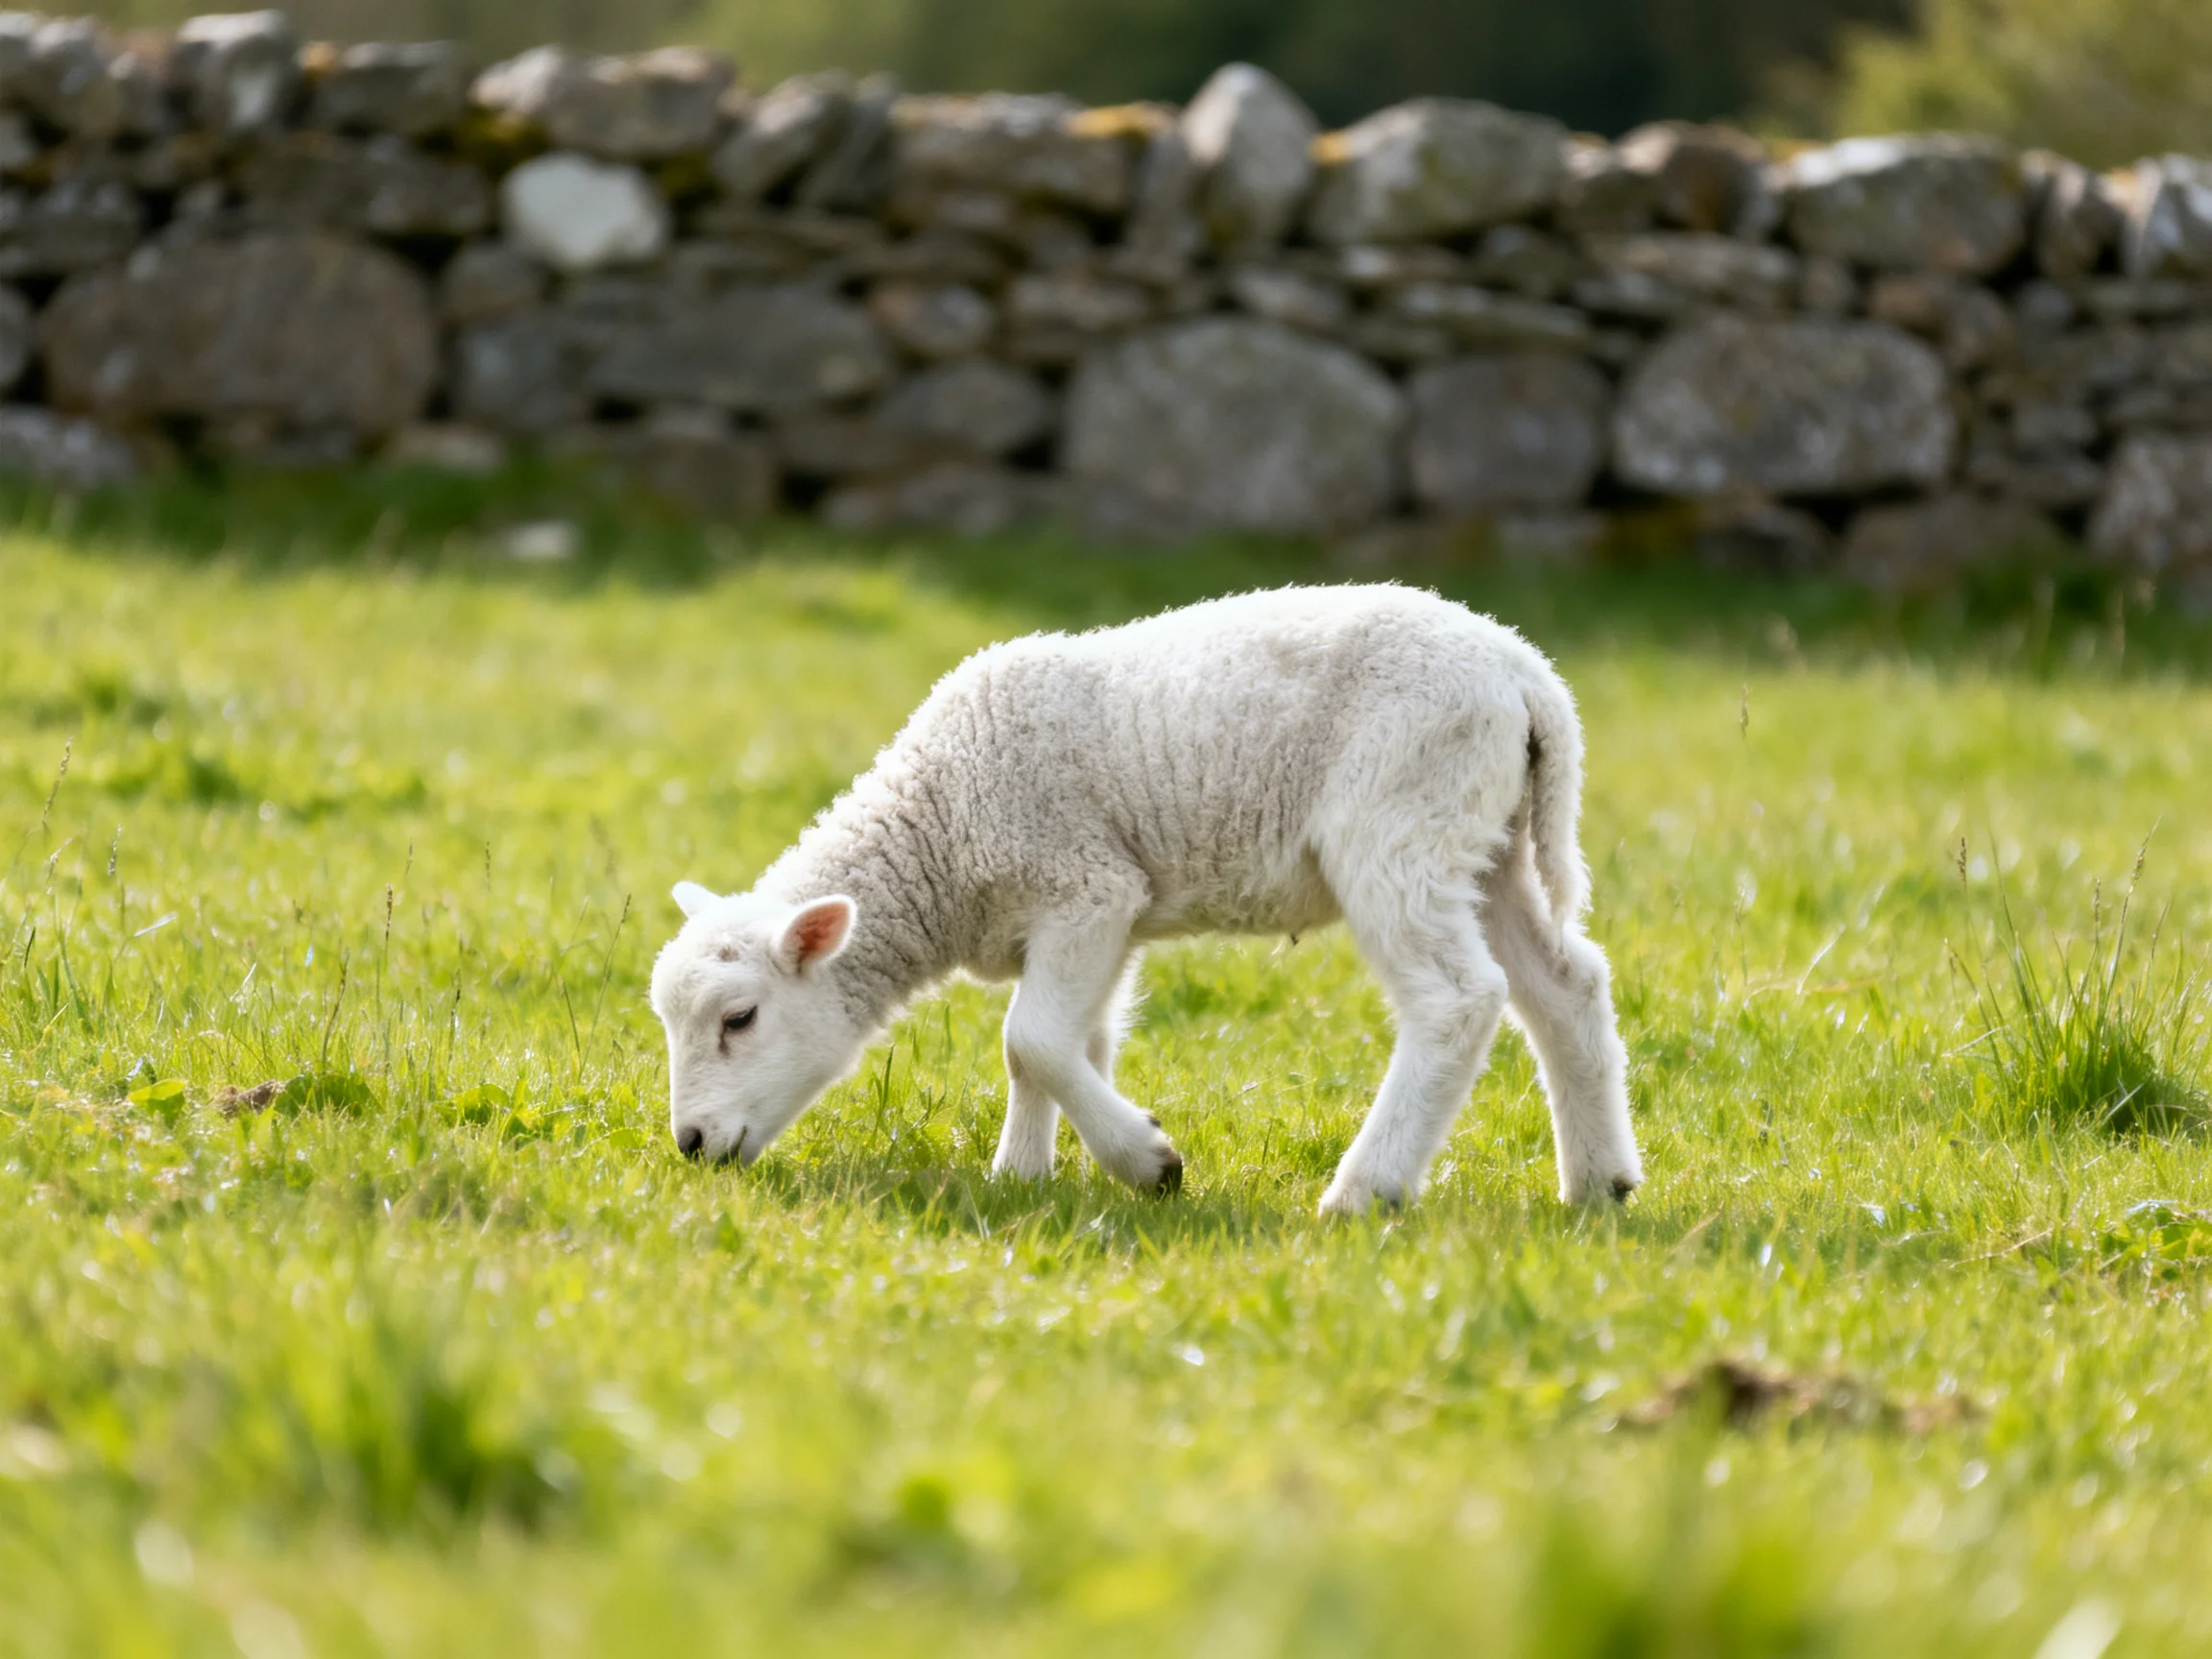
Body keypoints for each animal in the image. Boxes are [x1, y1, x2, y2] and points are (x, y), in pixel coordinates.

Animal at [650, 583, 1643, 1214]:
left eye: (738, 1018)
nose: (690, 1144)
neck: (940, 830)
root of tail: (1527, 677)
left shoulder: (1083, 884)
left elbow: (1031, 1039)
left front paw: (1148, 1163)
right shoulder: (1103, 915)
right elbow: (1060, 1047)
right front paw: (1026, 1176)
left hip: (1402, 820)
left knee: (1457, 1000)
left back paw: (1366, 1189)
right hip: (1487, 839)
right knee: (1565, 985)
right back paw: (1600, 1185)